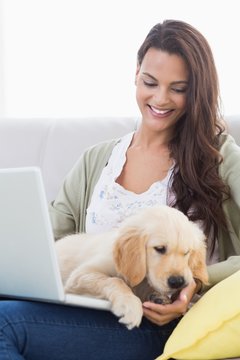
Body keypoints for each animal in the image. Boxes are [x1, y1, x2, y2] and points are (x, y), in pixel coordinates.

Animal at [54, 205, 208, 330]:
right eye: (160, 249)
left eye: (187, 252)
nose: (178, 282)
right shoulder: (80, 275)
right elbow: (116, 281)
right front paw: (130, 305)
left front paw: (157, 297)